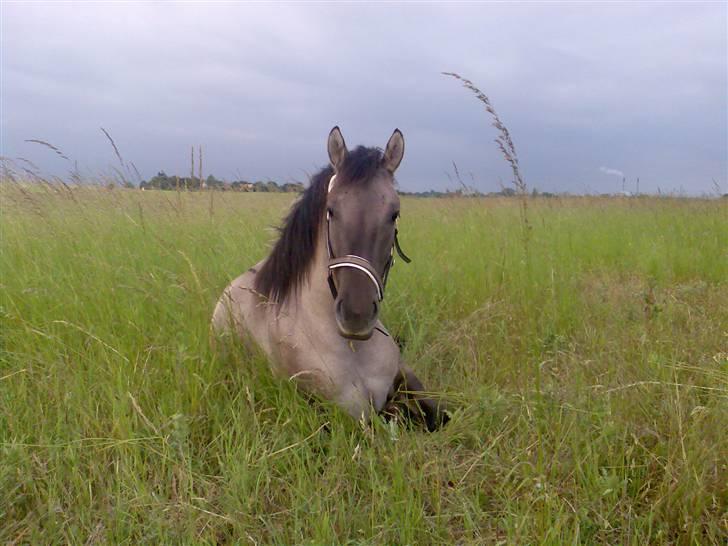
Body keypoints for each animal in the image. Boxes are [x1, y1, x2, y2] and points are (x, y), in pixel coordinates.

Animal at [210, 127, 446, 430]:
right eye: (331, 210)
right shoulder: (342, 417)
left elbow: (441, 413)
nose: (356, 315)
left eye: (394, 214)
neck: (354, 350)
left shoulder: (406, 374)